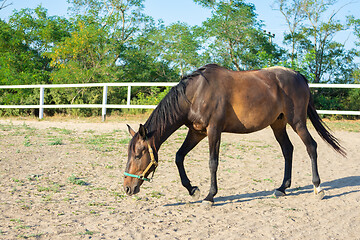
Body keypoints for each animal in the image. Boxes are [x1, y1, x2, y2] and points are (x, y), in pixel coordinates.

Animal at [124, 64, 346, 205]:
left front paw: (210, 197)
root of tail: (298, 75)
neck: (196, 93)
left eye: (138, 154)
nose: (127, 188)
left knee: (311, 147)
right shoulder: (196, 132)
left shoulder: (214, 130)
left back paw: (318, 188)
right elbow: (179, 156)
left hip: (297, 122)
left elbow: (213, 163)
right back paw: (282, 188)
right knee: (288, 150)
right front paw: (192, 189)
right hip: (278, 123)